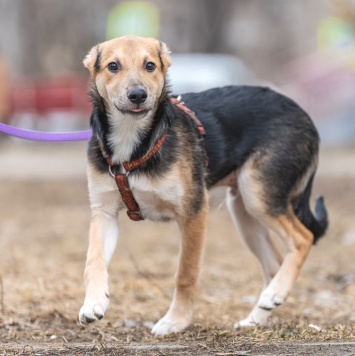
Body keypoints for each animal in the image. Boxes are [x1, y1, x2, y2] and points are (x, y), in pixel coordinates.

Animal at [79, 36, 330, 336]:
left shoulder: (194, 212)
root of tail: (303, 114)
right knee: (274, 263)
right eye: (113, 66)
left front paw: (176, 321)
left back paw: (275, 294)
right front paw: (93, 303)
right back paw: (257, 315)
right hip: (243, 210)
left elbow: (185, 274)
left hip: (258, 195)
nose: (138, 95)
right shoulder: (103, 212)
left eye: (150, 65)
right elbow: (94, 260)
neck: (134, 142)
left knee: (303, 238)